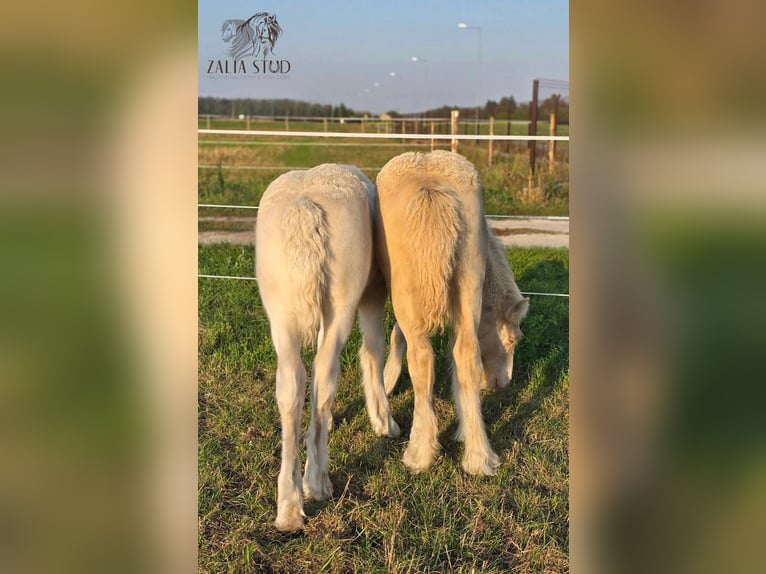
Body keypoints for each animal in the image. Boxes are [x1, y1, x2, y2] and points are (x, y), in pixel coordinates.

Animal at [258, 164, 402, 532]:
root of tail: (305, 205)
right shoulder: (373, 292)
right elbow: (374, 350)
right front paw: (384, 421)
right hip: (343, 303)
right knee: (324, 373)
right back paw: (317, 482)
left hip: (281, 313)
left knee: (292, 383)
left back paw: (289, 506)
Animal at [376, 152, 532, 476]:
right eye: (512, 340)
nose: (502, 385)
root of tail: (431, 184)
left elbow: (398, 335)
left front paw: (386, 381)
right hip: (468, 283)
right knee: (466, 355)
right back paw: (478, 457)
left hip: (407, 295)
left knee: (421, 359)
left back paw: (420, 453)